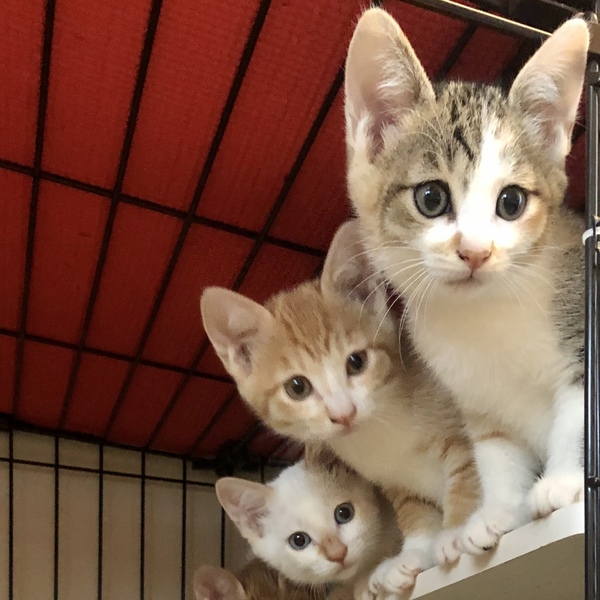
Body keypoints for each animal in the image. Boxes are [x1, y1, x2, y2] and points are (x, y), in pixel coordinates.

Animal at [343, 6, 588, 556]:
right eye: (431, 198)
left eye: (511, 202)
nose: (475, 251)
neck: (483, 317)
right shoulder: (476, 402)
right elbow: (495, 454)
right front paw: (496, 514)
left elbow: (579, 417)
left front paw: (565, 481)